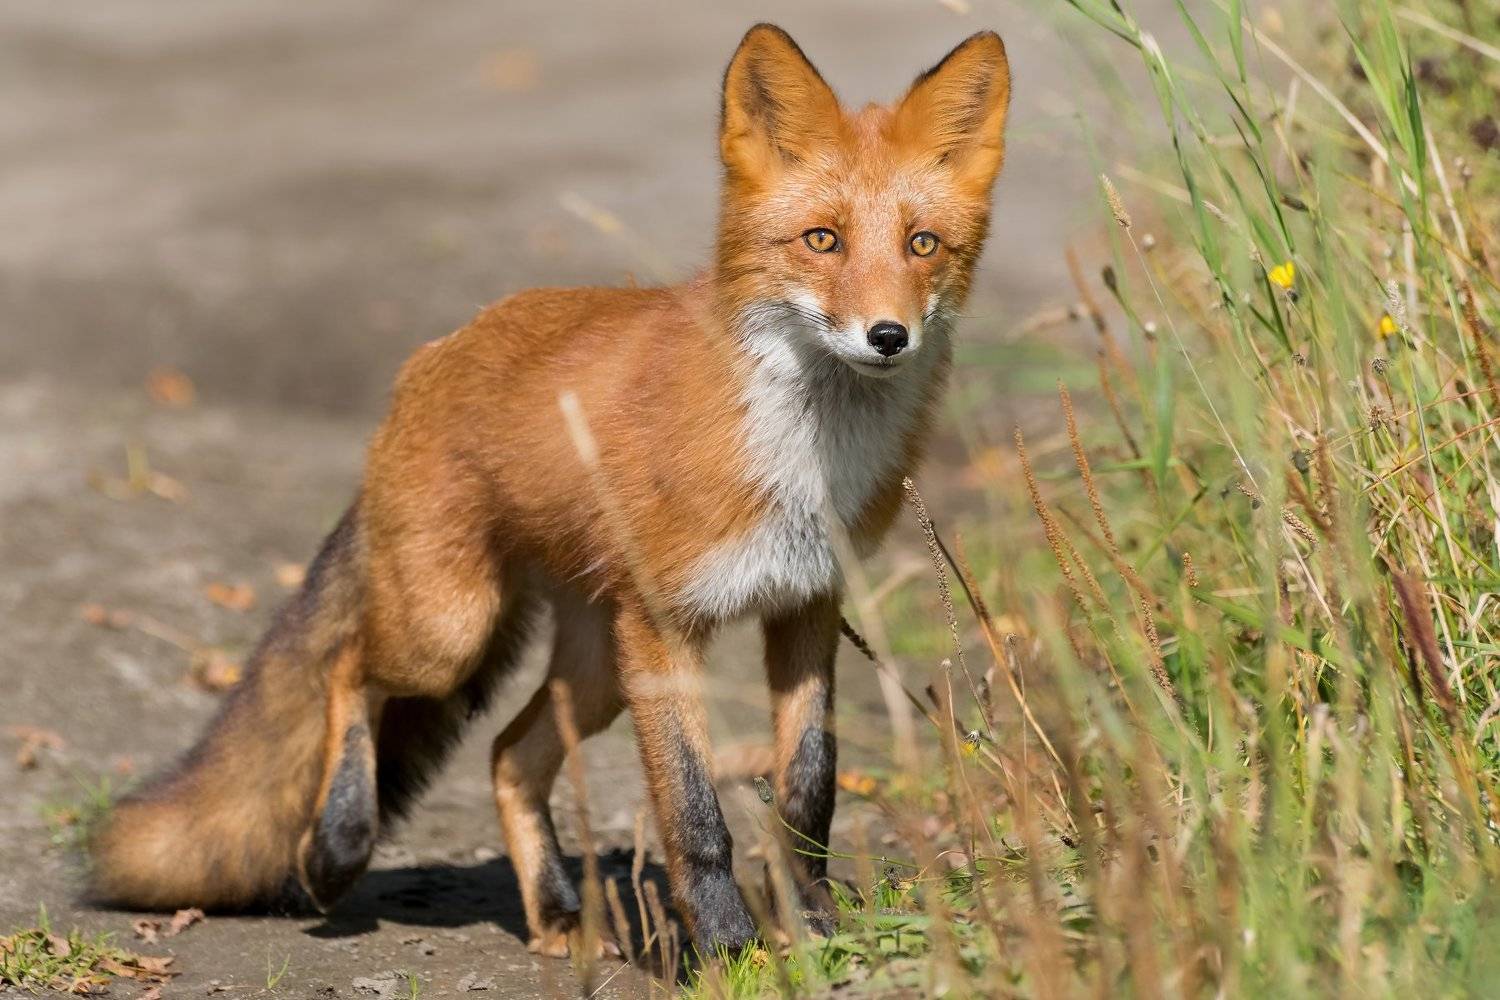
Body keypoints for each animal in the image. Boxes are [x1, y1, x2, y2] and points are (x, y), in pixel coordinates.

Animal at [89, 23, 1011, 959]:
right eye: (822, 241)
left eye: (924, 246)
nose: (888, 336)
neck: (801, 461)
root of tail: (427, 359)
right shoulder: (663, 630)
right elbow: (695, 816)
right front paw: (724, 951)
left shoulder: (808, 605)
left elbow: (807, 790)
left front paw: (816, 927)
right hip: (452, 631)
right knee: (348, 668)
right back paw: (338, 844)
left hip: (591, 669)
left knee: (505, 752)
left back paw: (556, 912)